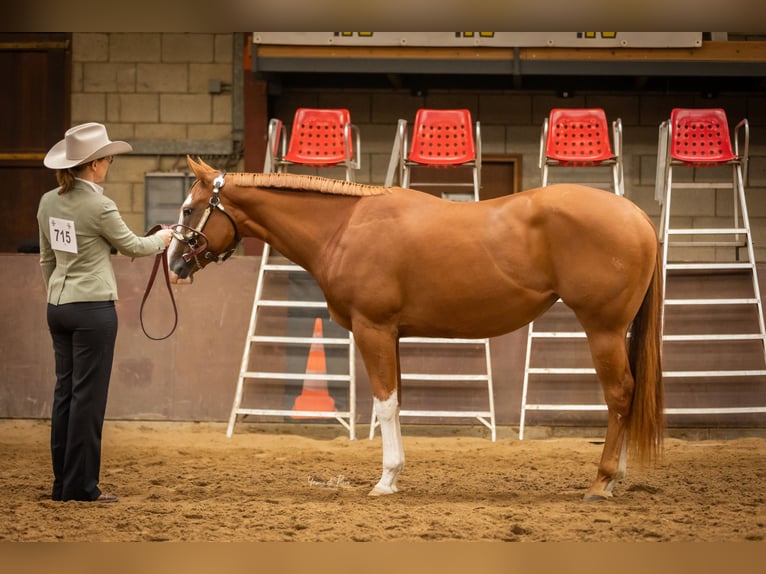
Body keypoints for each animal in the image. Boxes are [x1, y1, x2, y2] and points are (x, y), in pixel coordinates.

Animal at [168, 159, 664, 504]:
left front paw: (385, 480)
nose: (173, 265)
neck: (346, 226)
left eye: (189, 209)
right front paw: (395, 476)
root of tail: (635, 214)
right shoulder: (393, 336)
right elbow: (396, 403)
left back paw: (601, 483)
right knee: (626, 396)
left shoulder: (373, 329)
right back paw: (614, 479)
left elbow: (385, 404)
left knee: (619, 395)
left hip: (603, 329)